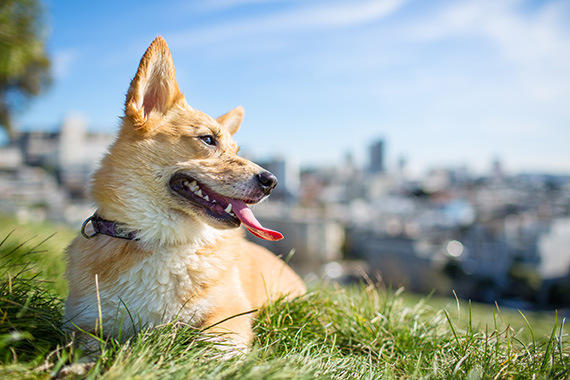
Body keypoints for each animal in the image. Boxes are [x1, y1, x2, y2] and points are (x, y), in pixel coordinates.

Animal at [63, 36, 304, 350]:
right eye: (208, 139)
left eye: (236, 150)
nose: (271, 181)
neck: (162, 240)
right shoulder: (84, 322)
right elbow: (87, 350)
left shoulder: (230, 315)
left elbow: (212, 347)